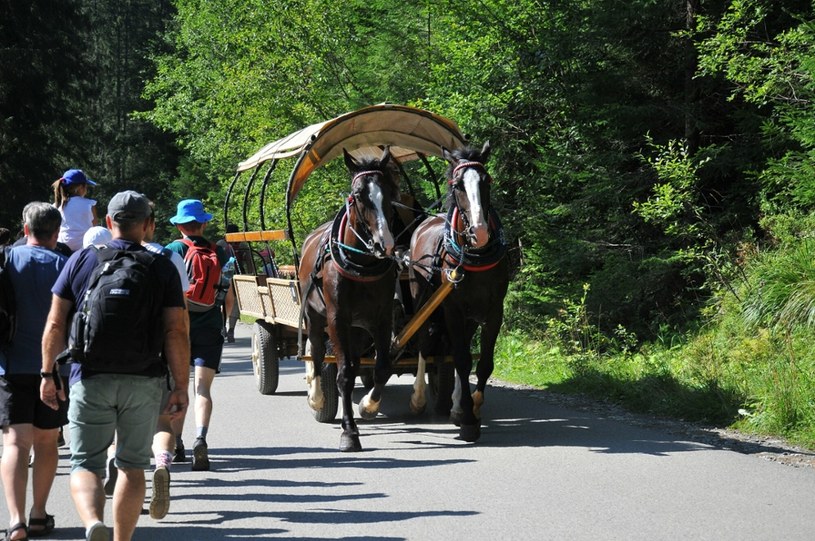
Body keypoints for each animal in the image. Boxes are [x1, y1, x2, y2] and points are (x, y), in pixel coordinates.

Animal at [300, 146, 402, 450]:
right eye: (358, 195)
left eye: (389, 191)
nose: (385, 244)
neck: (361, 263)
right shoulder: (337, 320)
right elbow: (343, 374)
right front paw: (349, 432)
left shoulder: (381, 319)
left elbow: (382, 368)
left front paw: (368, 406)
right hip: (315, 318)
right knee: (317, 353)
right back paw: (317, 397)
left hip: (359, 329)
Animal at [408, 141, 510, 440]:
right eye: (458, 186)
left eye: (486, 181)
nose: (480, 232)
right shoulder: (452, 310)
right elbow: (463, 360)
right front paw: (468, 421)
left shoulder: (493, 311)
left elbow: (483, 363)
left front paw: (471, 407)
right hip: (421, 301)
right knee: (423, 343)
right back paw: (418, 399)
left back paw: (453, 404)